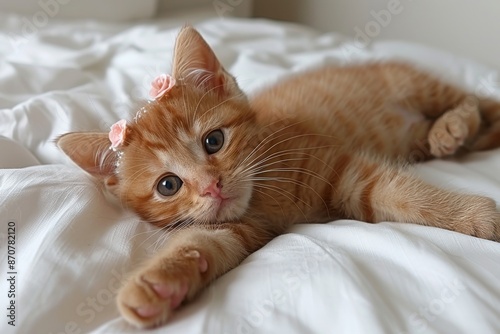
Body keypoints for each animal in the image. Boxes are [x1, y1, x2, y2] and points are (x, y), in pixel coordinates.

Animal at [56, 26, 498, 328]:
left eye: (213, 141)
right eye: (168, 185)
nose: (212, 186)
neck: (265, 190)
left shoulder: (346, 170)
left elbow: (401, 194)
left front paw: (477, 215)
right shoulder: (238, 226)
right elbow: (204, 243)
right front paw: (154, 284)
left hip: (415, 85)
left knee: (477, 100)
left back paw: (453, 125)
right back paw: (452, 133)